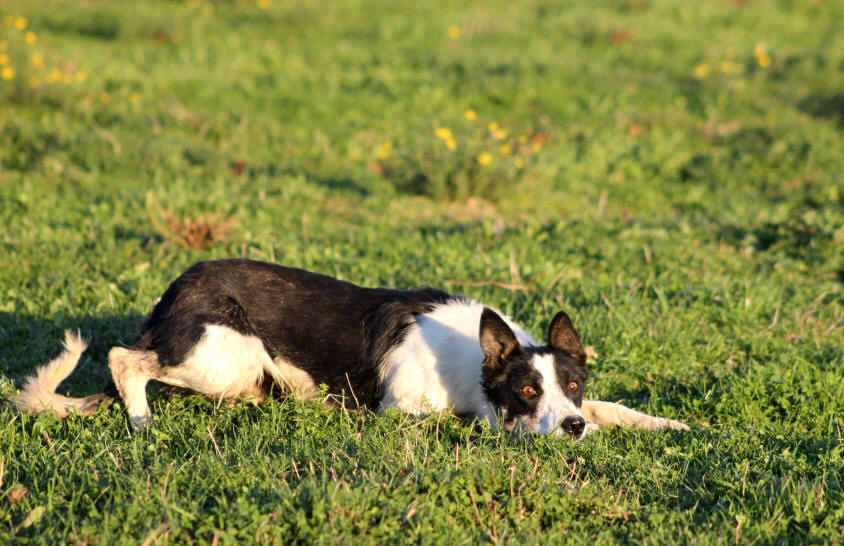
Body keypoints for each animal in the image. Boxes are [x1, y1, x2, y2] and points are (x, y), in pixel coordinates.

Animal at [13, 258, 688, 436]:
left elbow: (612, 409)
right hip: (223, 353)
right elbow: (469, 420)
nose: (572, 429)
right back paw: (141, 420)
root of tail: (172, 293)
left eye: (571, 385)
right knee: (122, 359)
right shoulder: (402, 409)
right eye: (525, 389)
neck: (471, 359)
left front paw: (668, 424)